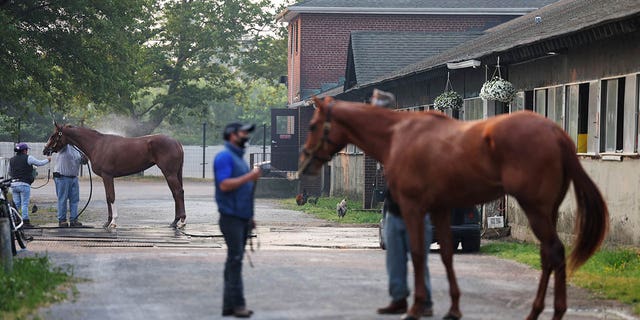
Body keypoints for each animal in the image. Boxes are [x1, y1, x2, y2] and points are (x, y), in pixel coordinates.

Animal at [43, 124, 185, 229]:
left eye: (53, 135)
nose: (45, 150)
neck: (97, 144)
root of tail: (176, 142)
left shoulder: (107, 176)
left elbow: (111, 197)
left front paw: (113, 222)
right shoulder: (105, 177)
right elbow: (107, 198)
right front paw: (107, 222)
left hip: (169, 173)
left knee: (178, 192)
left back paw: (182, 221)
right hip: (174, 174)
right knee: (175, 194)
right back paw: (175, 221)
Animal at [300, 97, 608, 320]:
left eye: (313, 125)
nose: (305, 161)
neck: (398, 136)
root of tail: (556, 133)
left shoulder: (413, 207)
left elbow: (418, 253)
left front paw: (416, 308)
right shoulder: (439, 208)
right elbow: (447, 254)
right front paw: (452, 308)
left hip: (536, 209)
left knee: (554, 252)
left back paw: (547, 312)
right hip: (547, 211)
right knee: (549, 255)